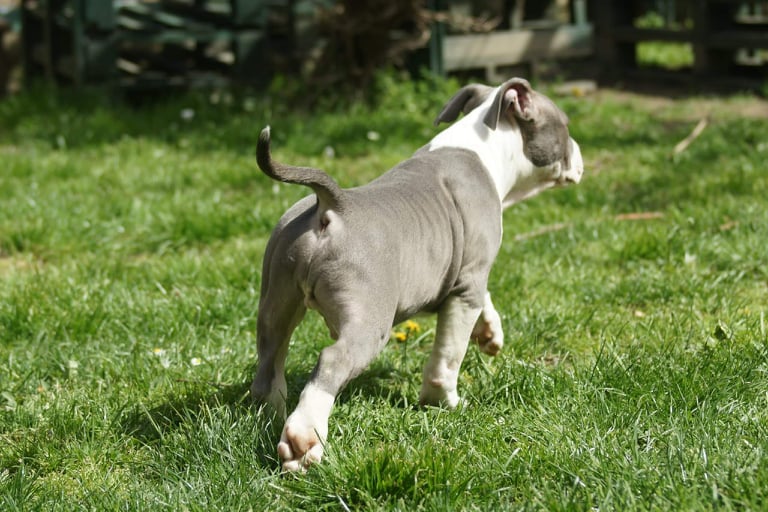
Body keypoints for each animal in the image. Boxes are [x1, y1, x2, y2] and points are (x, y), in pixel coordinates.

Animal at [252, 78, 584, 471]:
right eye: (565, 125)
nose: (580, 153)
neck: (484, 145)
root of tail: (331, 206)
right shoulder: (468, 282)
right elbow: (448, 355)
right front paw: (444, 401)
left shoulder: (469, 273)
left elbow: (484, 298)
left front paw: (489, 332)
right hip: (369, 323)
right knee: (332, 361)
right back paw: (303, 440)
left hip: (277, 297)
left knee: (269, 360)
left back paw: (269, 417)